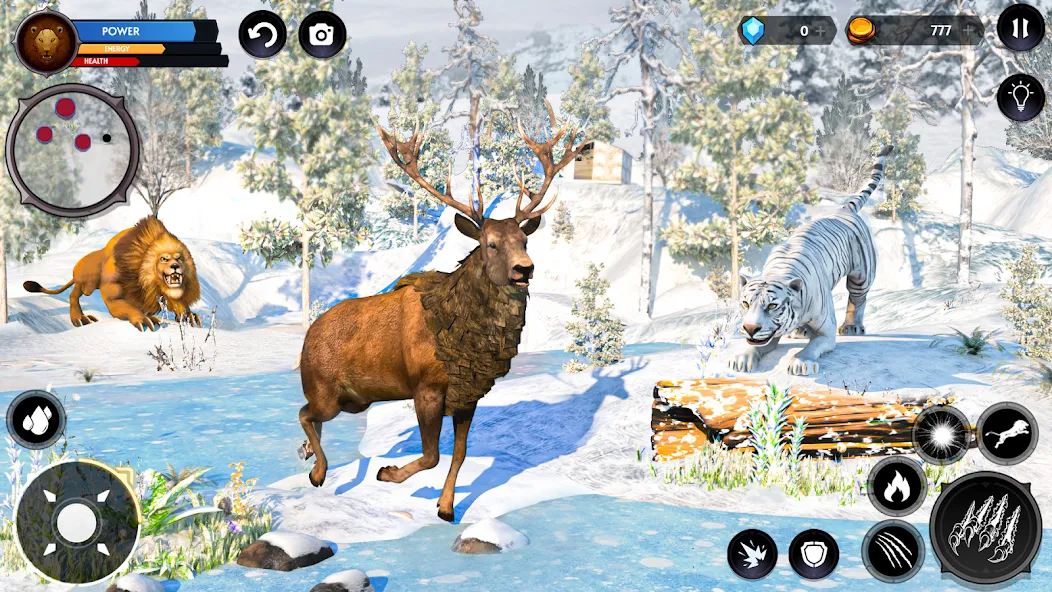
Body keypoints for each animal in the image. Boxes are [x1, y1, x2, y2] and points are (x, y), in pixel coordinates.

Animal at [24, 217, 202, 331]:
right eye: (164, 259)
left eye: (179, 258)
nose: (175, 266)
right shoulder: (113, 292)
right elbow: (124, 306)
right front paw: (142, 319)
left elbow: (178, 303)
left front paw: (189, 316)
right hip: (88, 281)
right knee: (74, 294)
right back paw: (80, 318)